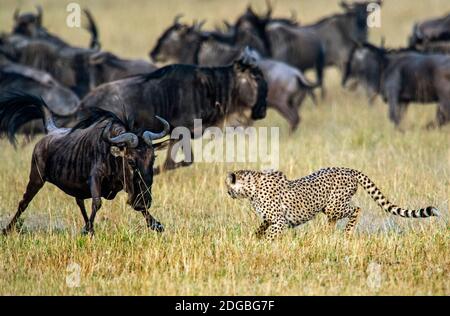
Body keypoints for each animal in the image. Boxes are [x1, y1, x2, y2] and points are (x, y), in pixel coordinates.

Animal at [225, 168, 440, 239]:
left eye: (227, 186)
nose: (227, 193)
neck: (251, 187)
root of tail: (349, 169)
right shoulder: (270, 220)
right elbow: (261, 228)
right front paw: (254, 239)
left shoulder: (280, 221)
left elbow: (270, 234)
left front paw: (263, 246)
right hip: (330, 208)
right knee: (333, 220)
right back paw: (327, 235)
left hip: (335, 205)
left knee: (356, 208)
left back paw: (347, 233)